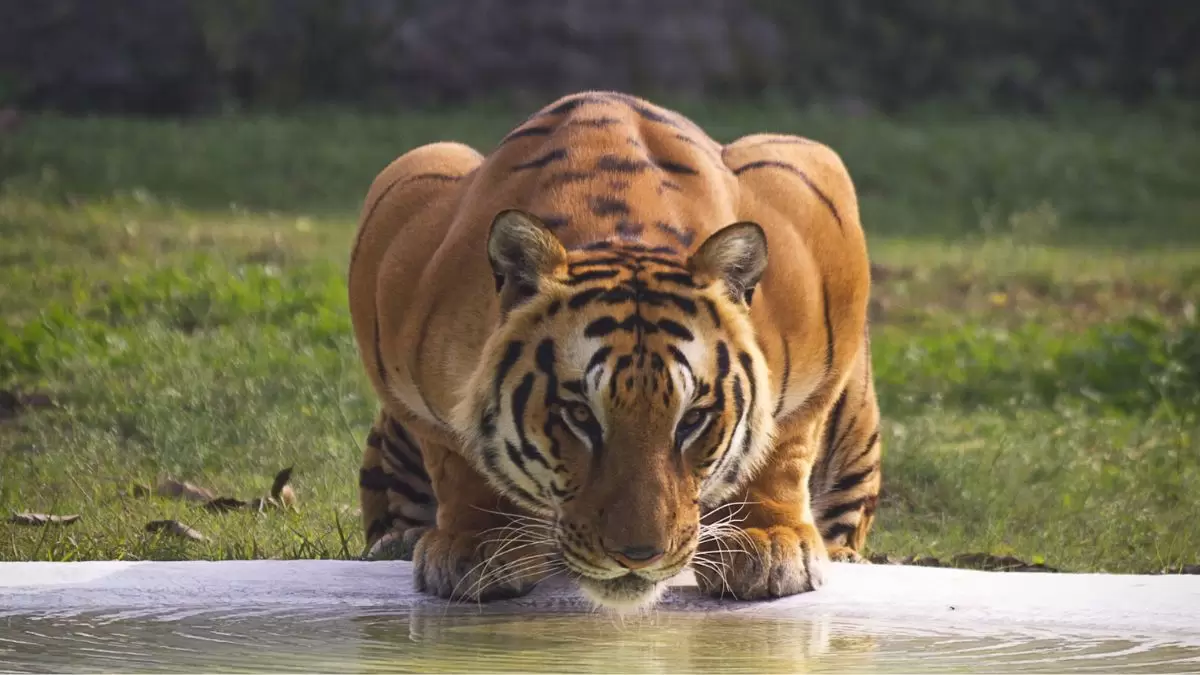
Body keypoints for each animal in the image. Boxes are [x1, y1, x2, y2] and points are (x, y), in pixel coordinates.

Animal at [348, 91, 881, 611]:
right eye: (580, 416)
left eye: (693, 420)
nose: (639, 556)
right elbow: (454, 455)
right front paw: (477, 544)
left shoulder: (816, 203)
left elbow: (786, 442)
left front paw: (768, 542)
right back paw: (401, 541)